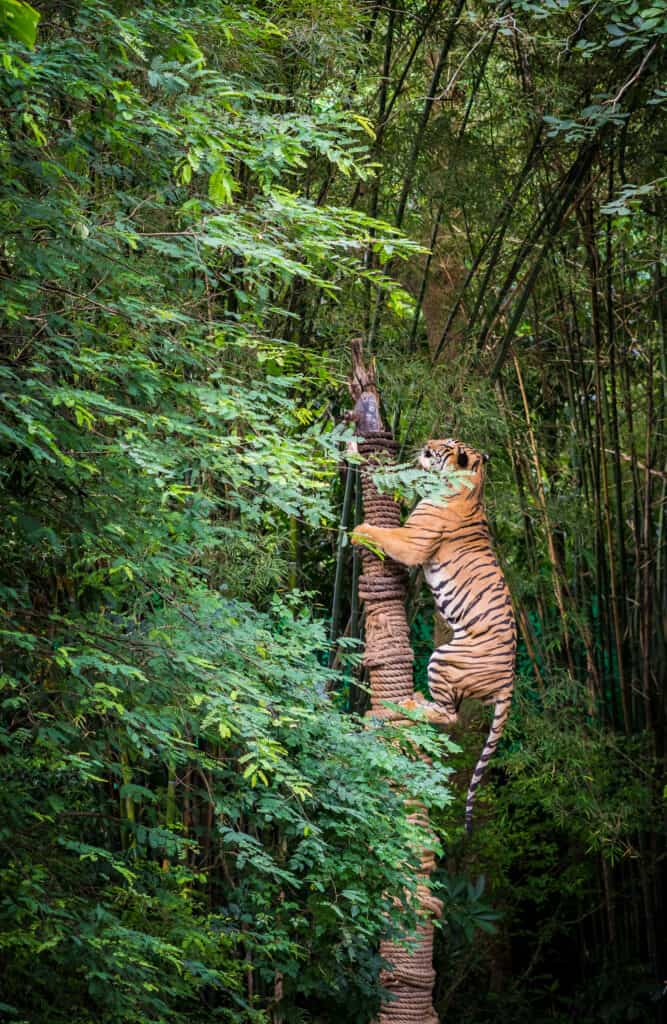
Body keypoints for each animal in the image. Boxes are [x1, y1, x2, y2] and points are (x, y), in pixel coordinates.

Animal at [354, 438, 516, 831]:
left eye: (444, 446)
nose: (425, 444)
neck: (472, 485)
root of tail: (510, 682)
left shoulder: (413, 539)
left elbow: (386, 535)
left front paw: (360, 529)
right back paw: (412, 698)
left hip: (445, 659)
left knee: (449, 716)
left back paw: (409, 703)